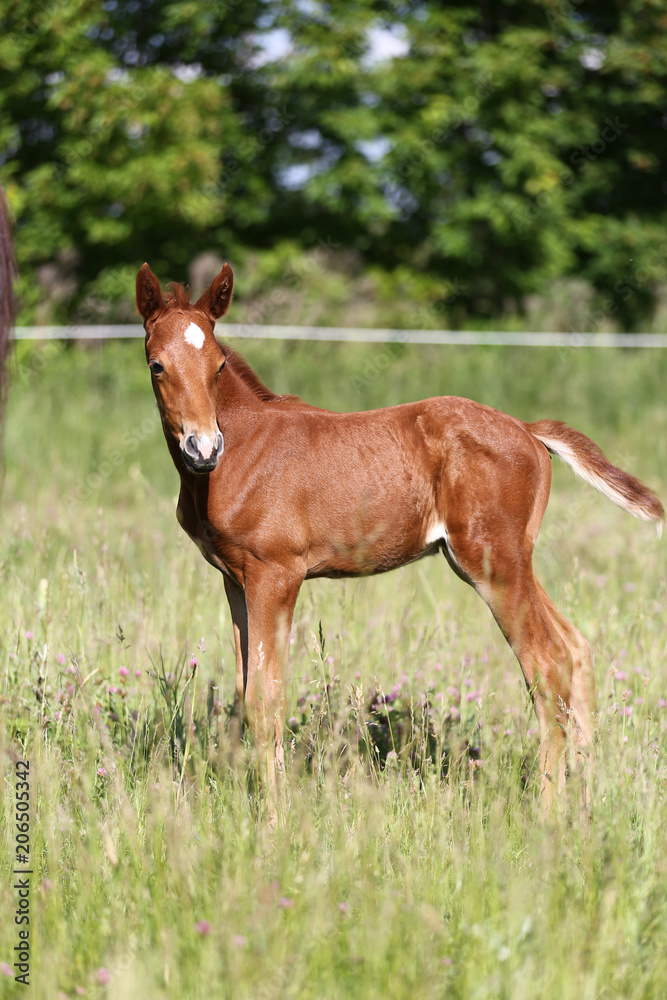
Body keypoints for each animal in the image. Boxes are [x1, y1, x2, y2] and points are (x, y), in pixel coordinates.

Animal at [136, 261, 664, 808]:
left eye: (218, 365)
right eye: (157, 366)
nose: (203, 448)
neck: (238, 452)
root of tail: (527, 428)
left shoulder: (275, 575)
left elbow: (267, 696)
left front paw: (275, 814)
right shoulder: (235, 578)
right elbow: (244, 692)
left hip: (492, 562)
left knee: (548, 661)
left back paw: (549, 809)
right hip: (507, 557)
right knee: (577, 648)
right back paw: (585, 794)